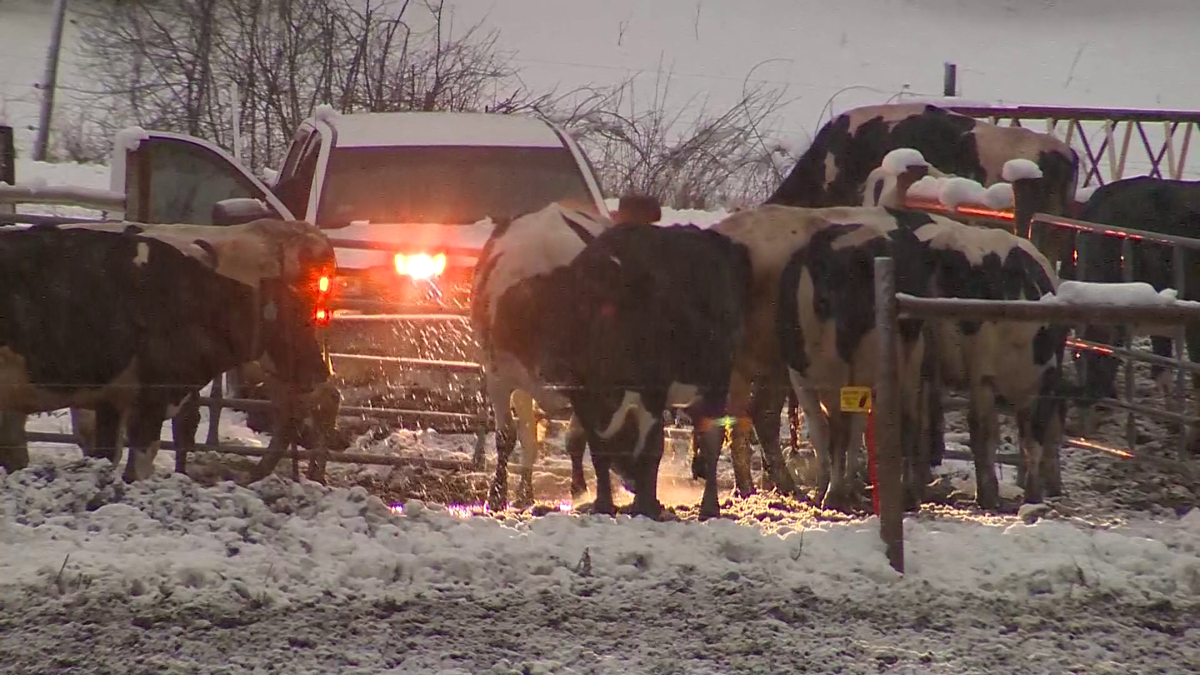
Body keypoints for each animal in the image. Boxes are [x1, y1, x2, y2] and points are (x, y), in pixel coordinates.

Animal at [470, 202, 611, 510]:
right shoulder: (498, 375)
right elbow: (507, 436)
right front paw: (497, 495)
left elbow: (576, 438)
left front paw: (579, 490)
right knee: (527, 435)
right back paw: (524, 492)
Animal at [522, 223, 752, 520]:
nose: (630, 482)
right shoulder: (583, 396)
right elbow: (596, 448)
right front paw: (604, 503)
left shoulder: (655, 389)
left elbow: (653, 446)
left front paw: (646, 505)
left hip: (716, 378)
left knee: (711, 436)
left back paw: (709, 506)